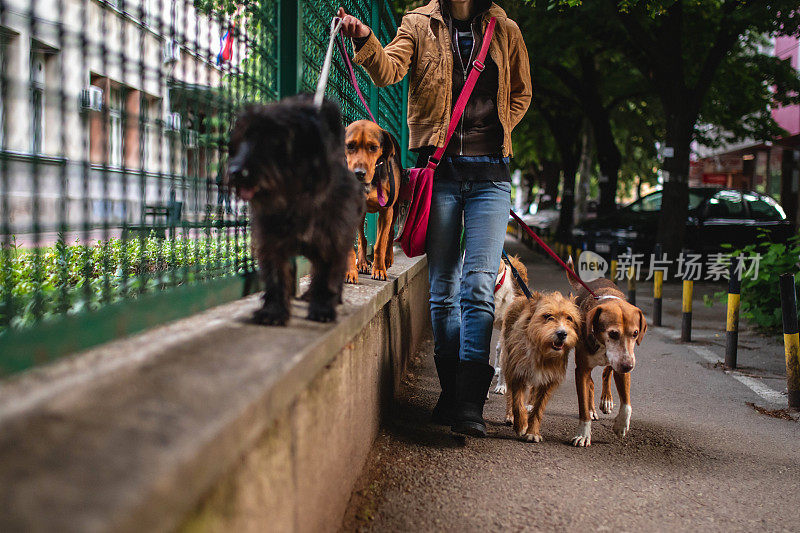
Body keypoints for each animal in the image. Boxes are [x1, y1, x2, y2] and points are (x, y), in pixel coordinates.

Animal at [225, 95, 362, 324]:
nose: (235, 172)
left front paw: (323, 309)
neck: (293, 197)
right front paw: (273, 311)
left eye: (271, 139)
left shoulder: (332, 241)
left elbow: (327, 276)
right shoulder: (270, 242)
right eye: (242, 139)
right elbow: (275, 276)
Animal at [346, 120, 406, 282]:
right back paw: (362, 263)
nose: (358, 173)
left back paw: (388, 259)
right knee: (362, 238)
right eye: (350, 146)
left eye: (373, 147)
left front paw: (379, 270)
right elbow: (357, 243)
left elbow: (380, 244)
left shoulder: (386, 210)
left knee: (390, 233)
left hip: (394, 208)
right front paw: (351, 271)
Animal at [504, 290, 580, 440]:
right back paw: (510, 415)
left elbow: (538, 408)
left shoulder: (548, 381)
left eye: (569, 318)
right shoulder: (516, 372)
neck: (541, 351)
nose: (562, 333)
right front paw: (521, 425)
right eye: (547, 316)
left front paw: (533, 432)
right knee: (510, 393)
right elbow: (517, 402)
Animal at [564, 256, 648, 444]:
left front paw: (621, 425)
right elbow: (583, 405)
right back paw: (593, 408)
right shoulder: (582, 369)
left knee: (606, 373)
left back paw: (607, 400)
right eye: (613, 333)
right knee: (591, 383)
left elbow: (627, 404)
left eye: (635, 333)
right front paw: (583, 434)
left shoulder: (622, 362)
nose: (629, 366)